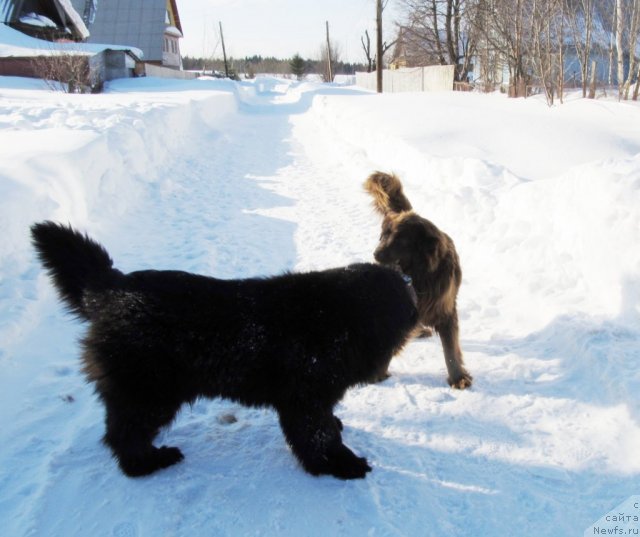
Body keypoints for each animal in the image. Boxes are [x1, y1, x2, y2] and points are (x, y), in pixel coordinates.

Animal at [32, 220, 418, 480]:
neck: (339, 318)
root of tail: (113, 289)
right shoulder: (303, 399)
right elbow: (318, 436)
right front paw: (341, 464)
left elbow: (325, 425)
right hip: (149, 394)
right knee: (124, 435)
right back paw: (148, 463)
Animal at [362, 172, 472, 390]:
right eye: (383, 236)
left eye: (399, 240)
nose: (375, 254)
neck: (420, 276)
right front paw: (378, 372)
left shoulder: (445, 310)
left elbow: (450, 349)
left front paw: (458, 377)